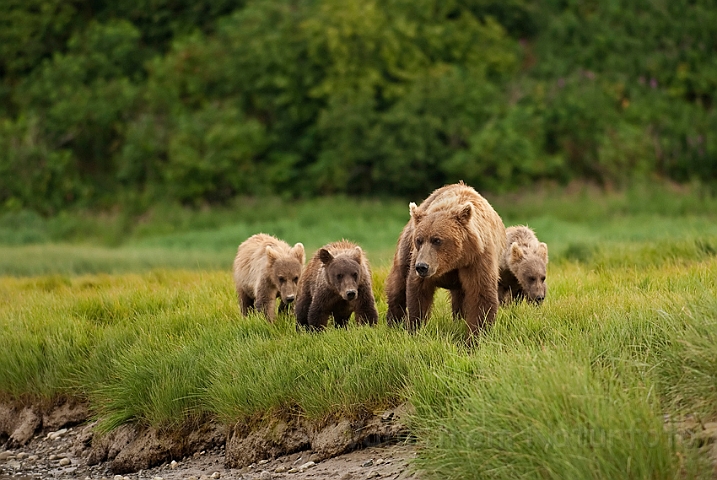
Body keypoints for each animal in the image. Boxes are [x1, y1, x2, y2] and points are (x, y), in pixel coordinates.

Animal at [384, 182, 506, 336]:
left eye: (437, 240)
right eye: (419, 240)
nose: (422, 267)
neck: (454, 261)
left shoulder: (477, 260)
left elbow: (481, 295)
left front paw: (475, 336)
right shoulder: (419, 258)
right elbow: (418, 293)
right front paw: (414, 328)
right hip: (406, 247)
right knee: (398, 283)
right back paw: (393, 322)